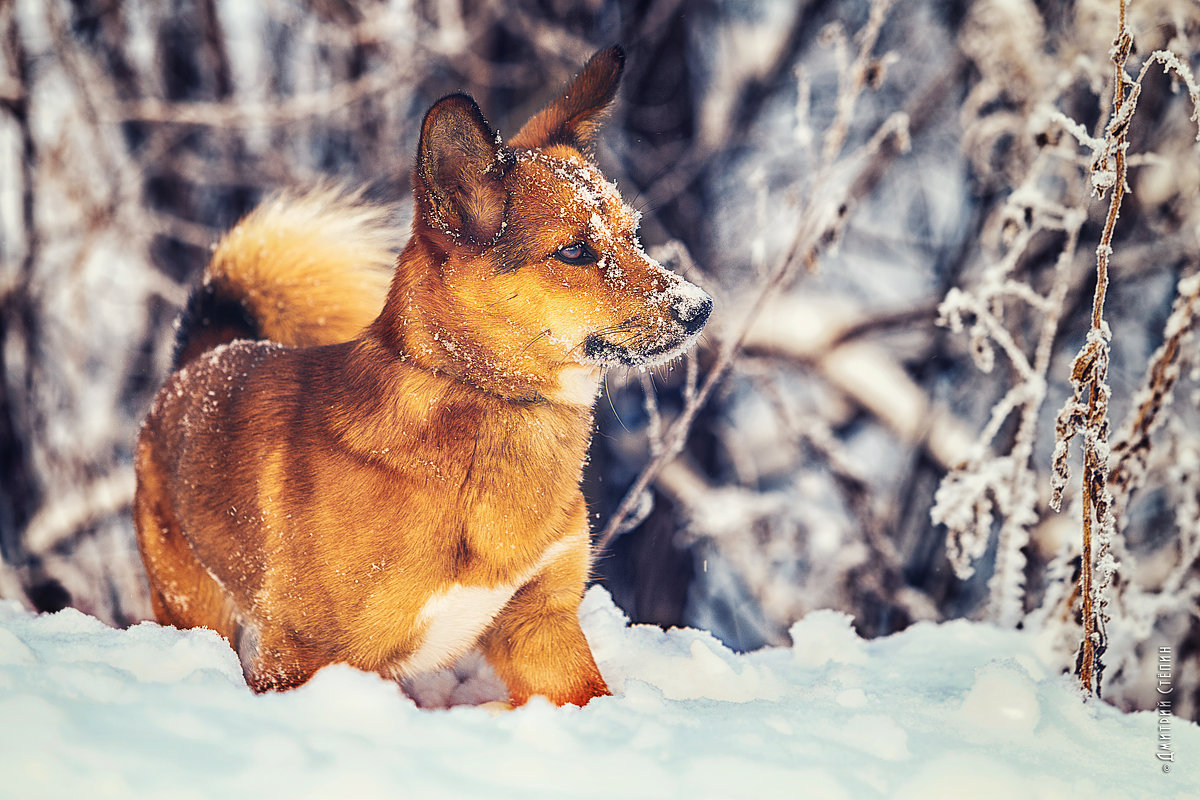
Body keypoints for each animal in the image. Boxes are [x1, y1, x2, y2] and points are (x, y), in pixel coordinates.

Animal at [131, 45, 710, 705]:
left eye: (634, 236)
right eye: (574, 252)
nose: (700, 308)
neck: (484, 403)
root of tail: (202, 356)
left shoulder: (542, 627)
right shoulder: (299, 657)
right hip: (191, 604)